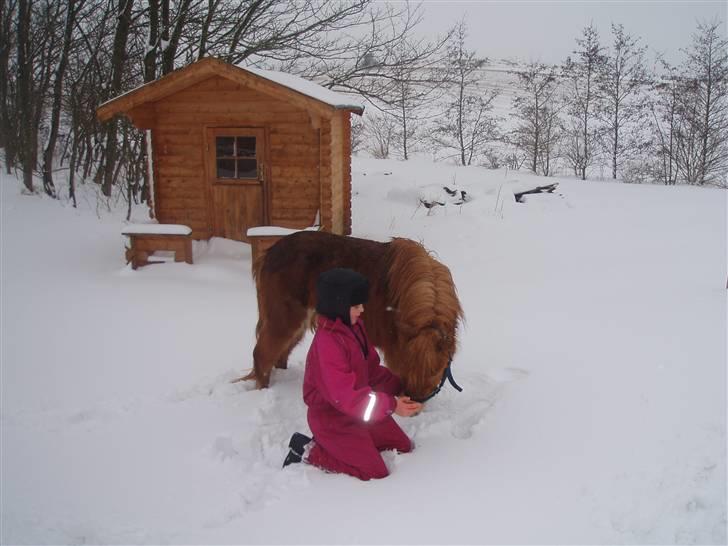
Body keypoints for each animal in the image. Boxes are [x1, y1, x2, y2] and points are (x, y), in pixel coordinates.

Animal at [242, 230, 464, 400]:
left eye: (435, 370)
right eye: (411, 364)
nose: (414, 399)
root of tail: (270, 252)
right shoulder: (395, 348)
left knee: (280, 355)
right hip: (285, 317)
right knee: (262, 355)